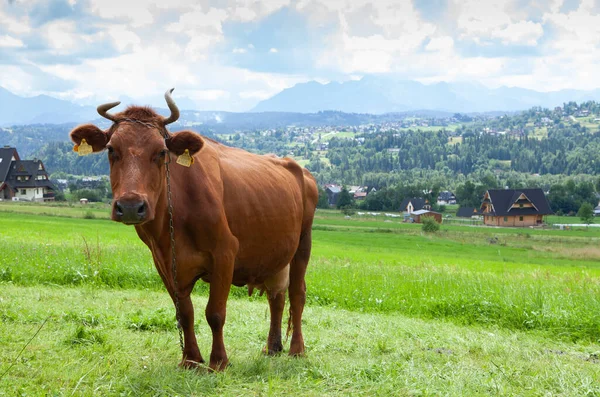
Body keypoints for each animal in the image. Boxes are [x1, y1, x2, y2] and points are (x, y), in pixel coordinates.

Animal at [69, 88, 318, 370]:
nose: (131, 206)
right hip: (276, 253)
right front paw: (190, 359)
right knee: (277, 296)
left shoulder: (225, 252)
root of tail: (299, 168)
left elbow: (215, 313)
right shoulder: (164, 262)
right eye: (111, 150)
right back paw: (272, 347)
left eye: (161, 152)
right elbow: (184, 313)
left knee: (297, 295)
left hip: (303, 243)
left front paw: (218, 361)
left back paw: (297, 350)